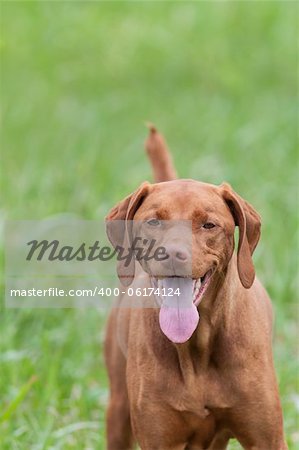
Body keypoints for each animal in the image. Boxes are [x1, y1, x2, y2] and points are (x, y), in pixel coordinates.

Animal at [104, 126, 288, 450]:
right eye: (154, 221)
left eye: (209, 225)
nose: (172, 254)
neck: (197, 344)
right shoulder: (157, 439)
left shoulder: (268, 439)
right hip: (118, 412)